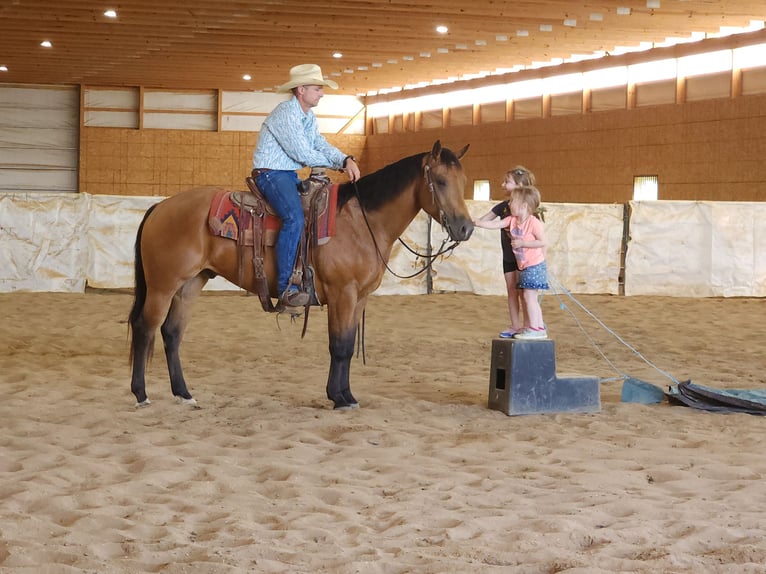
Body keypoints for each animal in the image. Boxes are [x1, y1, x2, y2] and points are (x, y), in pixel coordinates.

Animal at [130, 140, 476, 412]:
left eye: (463, 181)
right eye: (440, 181)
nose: (465, 228)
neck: (361, 222)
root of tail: (160, 207)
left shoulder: (359, 298)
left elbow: (346, 344)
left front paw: (345, 394)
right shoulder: (343, 293)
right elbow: (340, 346)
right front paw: (340, 398)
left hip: (190, 283)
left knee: (172, 333)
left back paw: (184, 394)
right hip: (162, 286)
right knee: (145, 328)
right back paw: (141, 394)